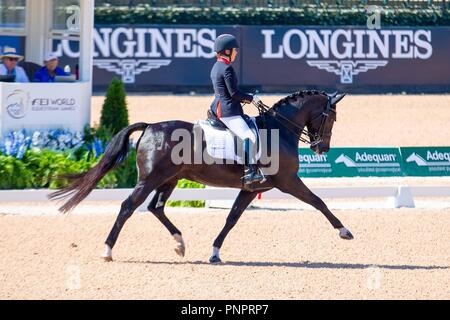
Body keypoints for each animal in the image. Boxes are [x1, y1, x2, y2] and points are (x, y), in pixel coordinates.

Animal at [49, 89, 352, 262]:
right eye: (332, 117)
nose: (321, 148)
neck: (278, 130)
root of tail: (150, 126)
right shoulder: (288, 182)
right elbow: (318, 202)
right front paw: (344, 231)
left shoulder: (251, 189)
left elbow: (232, 219)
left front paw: (215, 253)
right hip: (150, 179)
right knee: (128, 207)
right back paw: (108, 250)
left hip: (168, 179)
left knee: (156, 207)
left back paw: (179, 243)